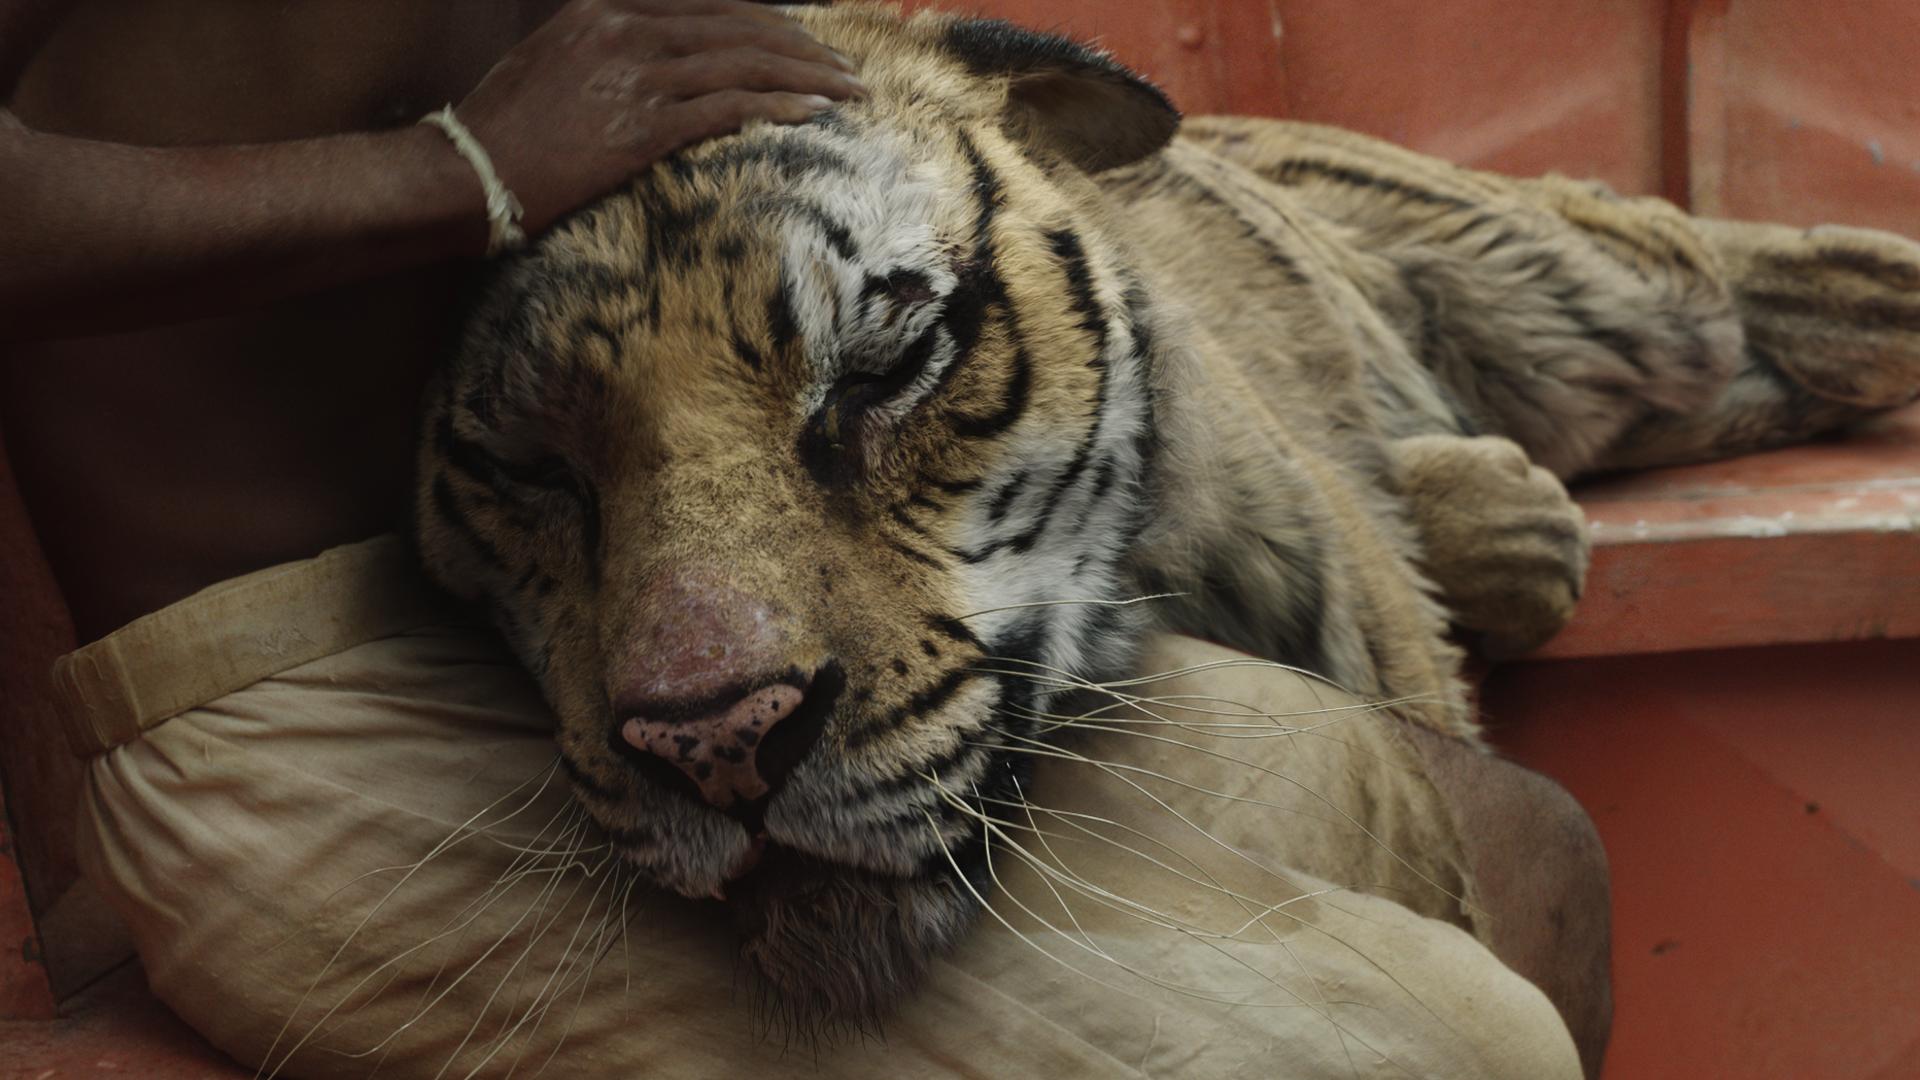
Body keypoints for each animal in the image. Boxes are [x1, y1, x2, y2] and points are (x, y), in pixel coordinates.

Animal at [412, 2, 1920, 1037]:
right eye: (525, 463)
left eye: (884, 366)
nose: (715, 743)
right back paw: (1503, 519)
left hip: (1621, 315)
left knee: (1764, 268)